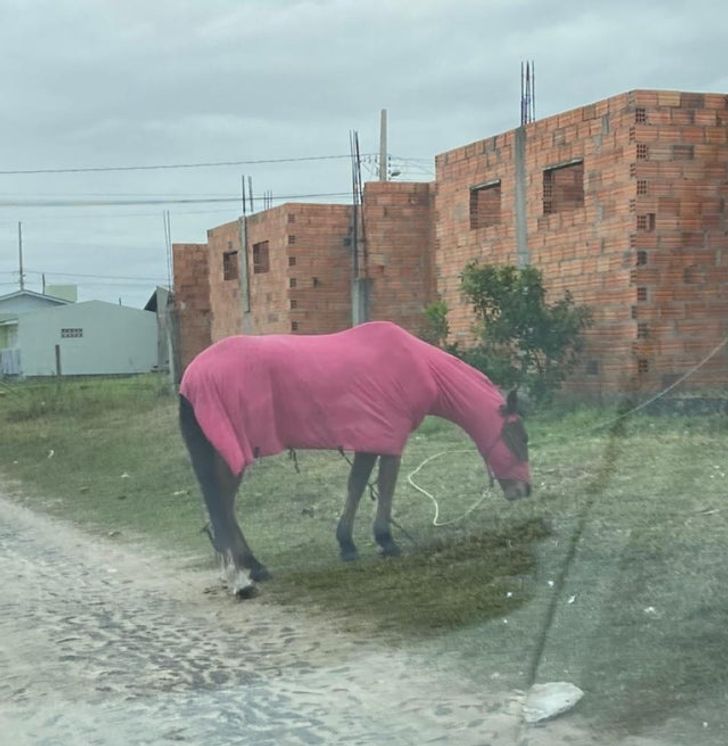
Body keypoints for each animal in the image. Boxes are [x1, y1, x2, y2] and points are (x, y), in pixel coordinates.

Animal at [176, 316, 528, 596]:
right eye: (519, 437)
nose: (523, 490)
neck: (413, 364)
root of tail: (191, 380)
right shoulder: (389, 439)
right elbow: (384, 487)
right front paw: (386, 541)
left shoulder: (369, 440)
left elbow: (356, 486)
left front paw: (347, 544)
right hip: (230, 455)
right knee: (222, 507)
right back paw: (244, 574)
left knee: (221, 508)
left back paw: (250, 567)